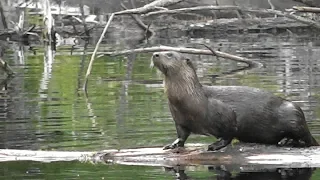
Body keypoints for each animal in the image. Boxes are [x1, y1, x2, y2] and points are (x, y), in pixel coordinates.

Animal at [151, 50, 318, 150]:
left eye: (170, 54)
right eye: (160, 50)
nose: (155, 54)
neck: (189, 99)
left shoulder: (225, 114)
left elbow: (229, 132)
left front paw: (215, 145)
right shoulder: (180, 120)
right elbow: (182, 135)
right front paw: (172, 144)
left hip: (293, 114)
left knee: (307, 139)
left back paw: (288, 141)